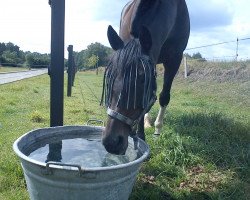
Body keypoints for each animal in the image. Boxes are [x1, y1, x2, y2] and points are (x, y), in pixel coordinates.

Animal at [100, 0, 190, 155]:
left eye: (142, 79)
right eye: (109, 76)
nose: (111, 142)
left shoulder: (175, 59)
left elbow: (163, 97)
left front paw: (157, 130)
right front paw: (141, 136)